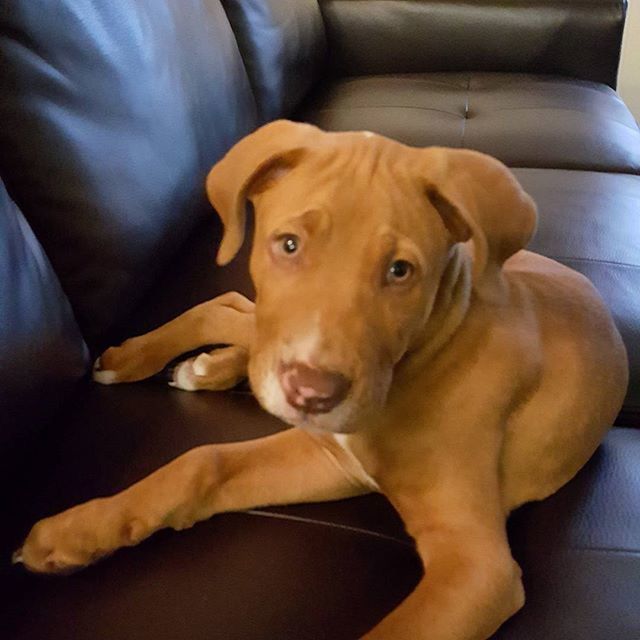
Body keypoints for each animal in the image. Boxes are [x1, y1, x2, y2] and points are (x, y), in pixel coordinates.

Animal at [12, 121, 628, 640]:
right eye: (288, 244)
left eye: (400, 271)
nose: (312, 392)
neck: (422, 358)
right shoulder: (332, 454)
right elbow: (200, 461)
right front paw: (77, 530)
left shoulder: (476, 565)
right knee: (227, 304)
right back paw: (150, 358)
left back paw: (208, 367)